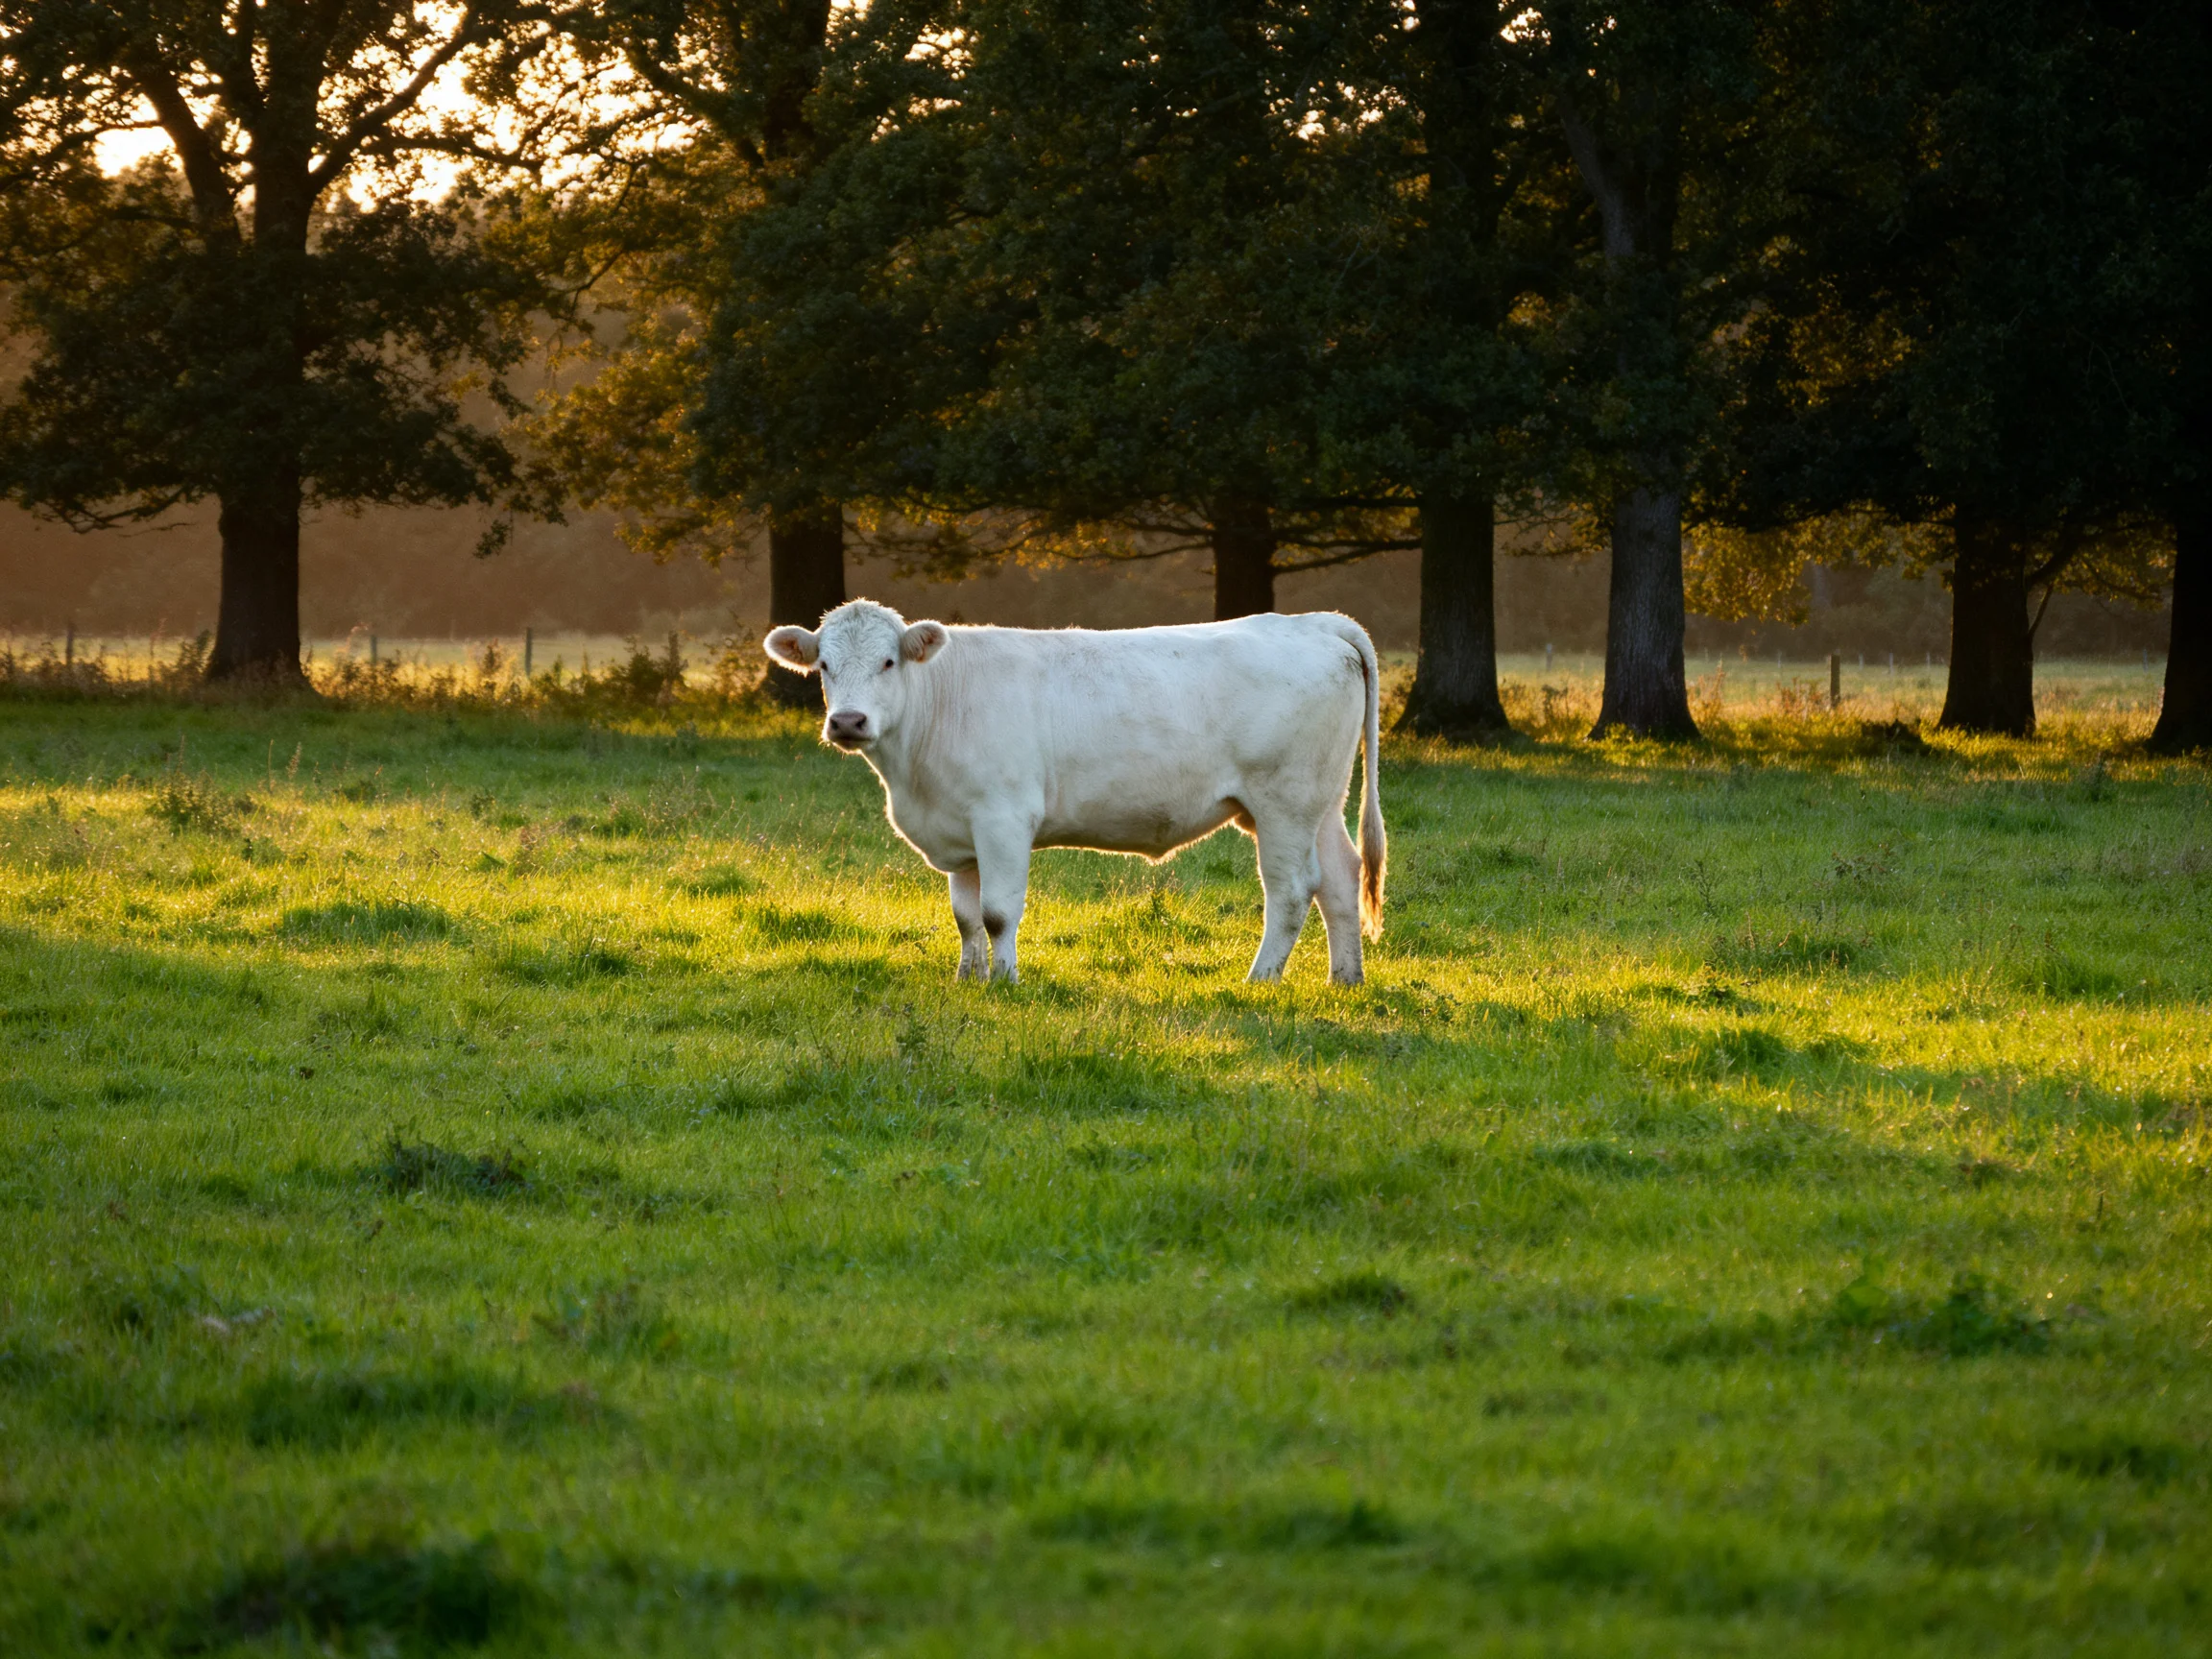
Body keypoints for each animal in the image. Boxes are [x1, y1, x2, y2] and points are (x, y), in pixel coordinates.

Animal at [763, 600, 1385, 985]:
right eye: (824, 664)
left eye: (889, 661)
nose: (848, 721)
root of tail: (1314, 623)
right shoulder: (958, 832)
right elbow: (965, 917)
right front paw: (967, 978)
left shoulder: (1003, 817)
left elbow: (996, 912)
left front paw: (1005, 981)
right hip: (1320, 803)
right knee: (1340, 877)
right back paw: (1345, 979)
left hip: (1284, 803)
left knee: (1291, 890)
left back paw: (1258, 980)